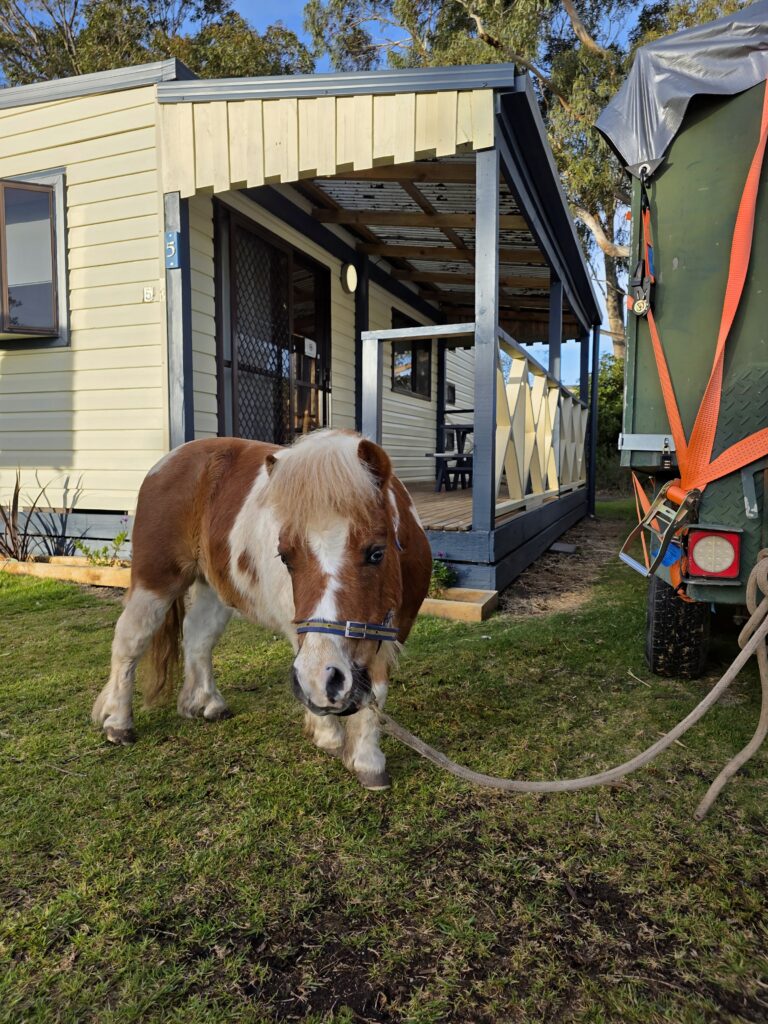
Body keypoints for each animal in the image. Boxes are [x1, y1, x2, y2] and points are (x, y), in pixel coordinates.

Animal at [92, 429, 433, 790]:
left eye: (376, 552)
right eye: (285, 556)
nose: (325, 681)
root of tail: (165, 463)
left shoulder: (395, 629)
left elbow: (376, 691)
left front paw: (368, 762)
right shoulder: (303, 632)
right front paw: (328, 737)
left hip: (213, 588)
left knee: (198, 637)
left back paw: (206, 704)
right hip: (155, 582)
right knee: (129, 641)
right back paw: (118, 723)